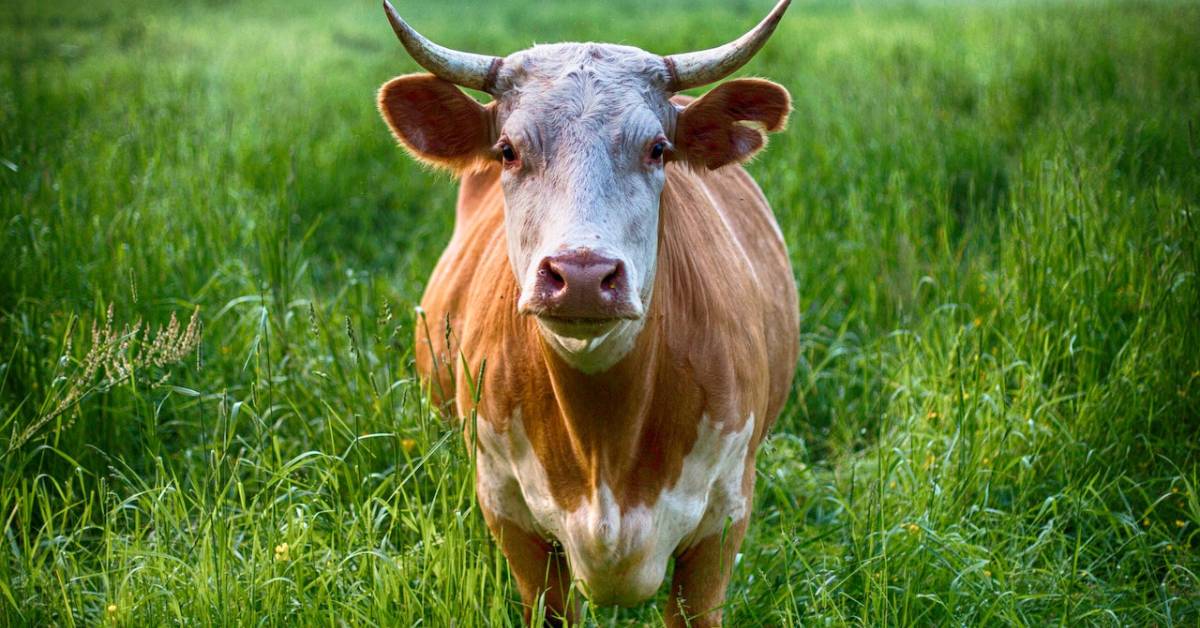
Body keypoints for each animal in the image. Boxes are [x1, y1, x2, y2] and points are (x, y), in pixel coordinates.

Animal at [374, 1, 801, 624]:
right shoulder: (509, 513)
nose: (580, 276)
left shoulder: (723, 521)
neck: (604, 441)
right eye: (508, 150)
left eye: (658, 149)